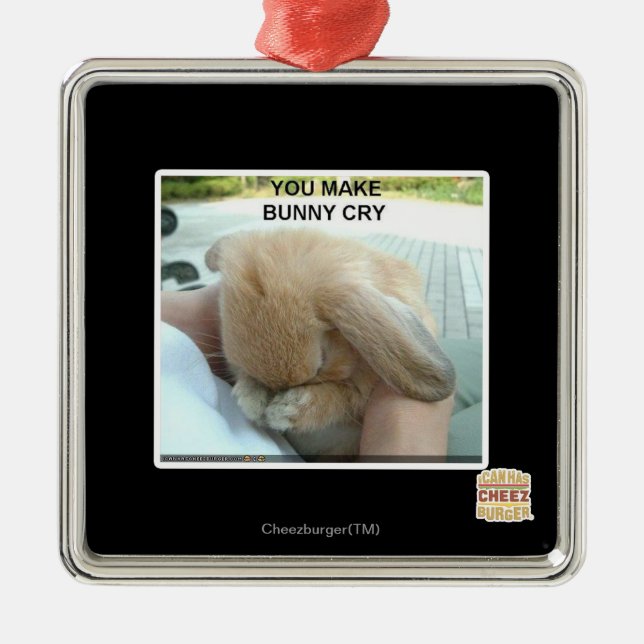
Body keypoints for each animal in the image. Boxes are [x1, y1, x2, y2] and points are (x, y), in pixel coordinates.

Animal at [205, 228, 456, 459]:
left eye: (322, 362)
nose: (277, 395)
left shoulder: (357, 401)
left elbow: (339, 399)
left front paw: (285, 410)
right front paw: (250, 399)